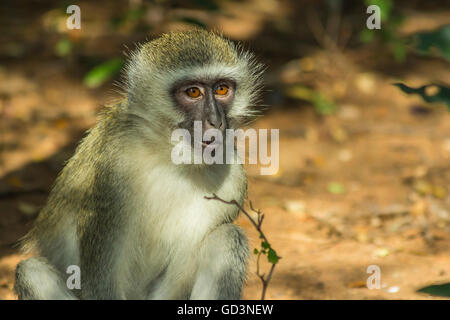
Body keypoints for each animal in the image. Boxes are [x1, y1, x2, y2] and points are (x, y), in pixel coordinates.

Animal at [14, 30, 264, 300]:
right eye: (193, 92)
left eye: (222, 89)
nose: (216, 121)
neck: (169, 158)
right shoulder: (112, 170)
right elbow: (100, 285)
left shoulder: (233, 180)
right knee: (32, 271)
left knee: (227, 238)